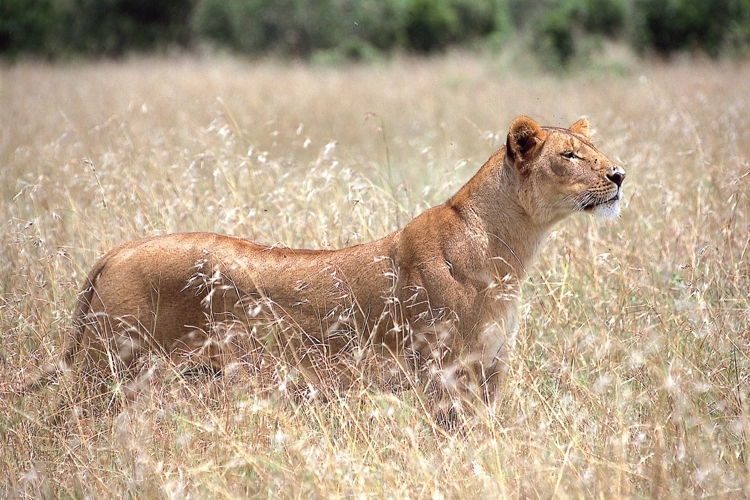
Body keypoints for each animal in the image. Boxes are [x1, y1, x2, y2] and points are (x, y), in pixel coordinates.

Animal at [21, 116, 625, 403]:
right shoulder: (444, 368)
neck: (511, 247)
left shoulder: (493, 364)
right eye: (571, 157)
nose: (619, 175)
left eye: (596, 153)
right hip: (106, 371)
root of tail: (115, 251)